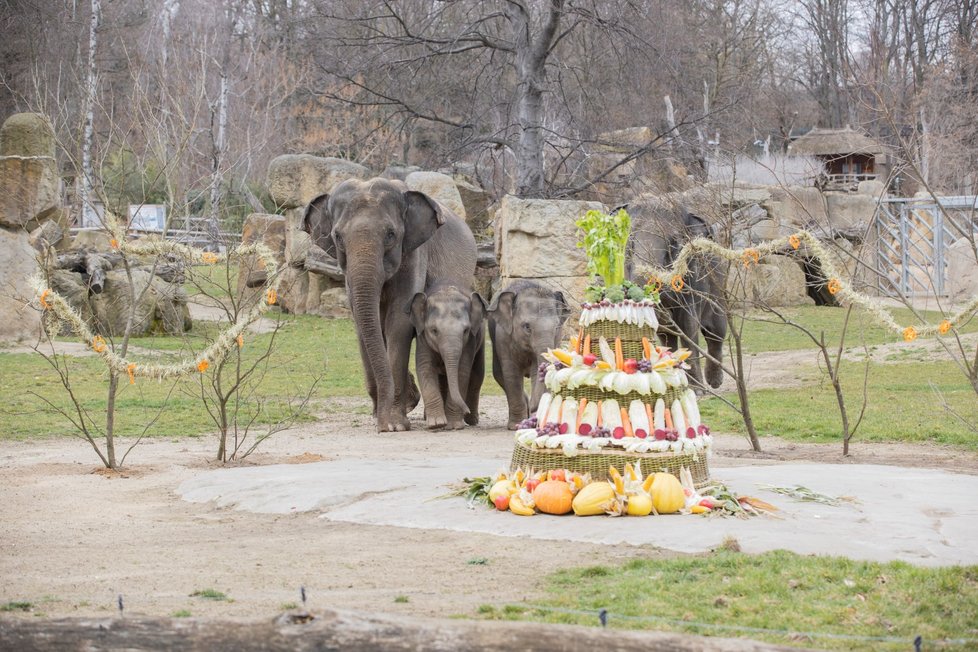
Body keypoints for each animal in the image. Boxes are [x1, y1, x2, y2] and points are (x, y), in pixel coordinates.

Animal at [302, 178, 476, 432]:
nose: (383, 426)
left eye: (391, 234)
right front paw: (384, 417)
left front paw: (394, 424)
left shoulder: (413, 255)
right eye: (337, 237)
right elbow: (363, 324)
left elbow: (398, 322)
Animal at [404, 284, 484, 428]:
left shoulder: (470, 341)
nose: (466, 410)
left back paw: (472, 420)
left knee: (477, 375)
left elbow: (462, 371)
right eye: (434, 330)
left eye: (466, 330)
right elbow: (425, 368)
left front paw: (454, 425)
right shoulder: (422, 337)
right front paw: (437, 424)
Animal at [486, 278, 568, 428]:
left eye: (556, 327)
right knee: (499, 374)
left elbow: (537, 370)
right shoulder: (503, 336)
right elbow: (511, 373)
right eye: (527, 327)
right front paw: (516, 425)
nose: (533, 407)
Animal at [624, 201, 724, 390]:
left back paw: (714, 383)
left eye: (673, 244)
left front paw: (698, 391)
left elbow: (688, 324)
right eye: (630, 242)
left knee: (715, 332)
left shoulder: (693, 275)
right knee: (666, 336)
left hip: (718, 286)